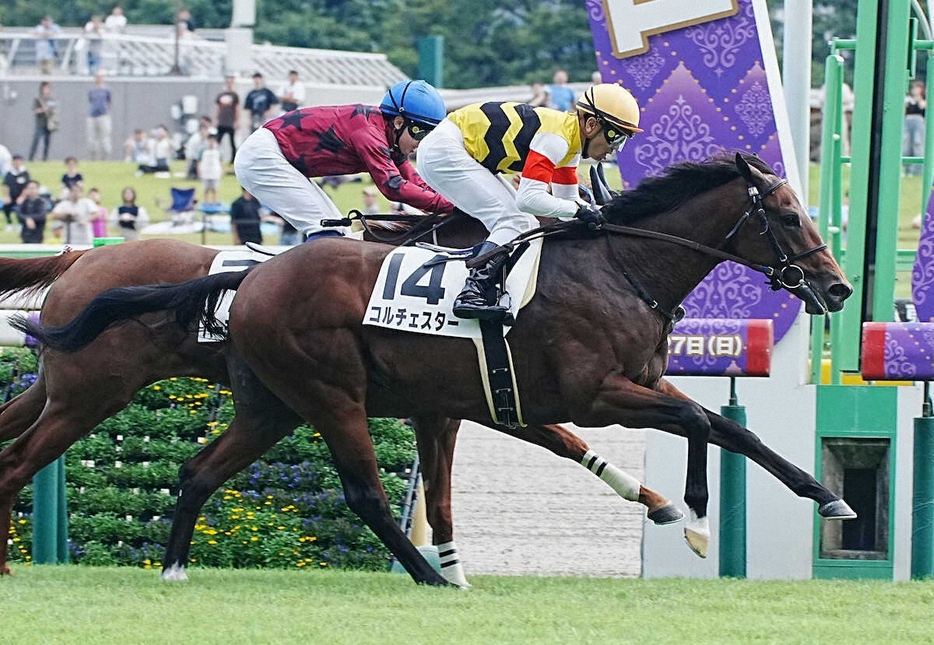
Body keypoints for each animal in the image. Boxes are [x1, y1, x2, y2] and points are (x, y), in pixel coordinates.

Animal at [0, 224, 676, 580]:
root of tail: (81, 257)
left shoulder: (470, 400)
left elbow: (560, 445)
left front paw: (660, 505)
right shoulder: (489, 397)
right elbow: (554, 440)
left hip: (61, 388)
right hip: (91, 393)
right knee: (21, 457)